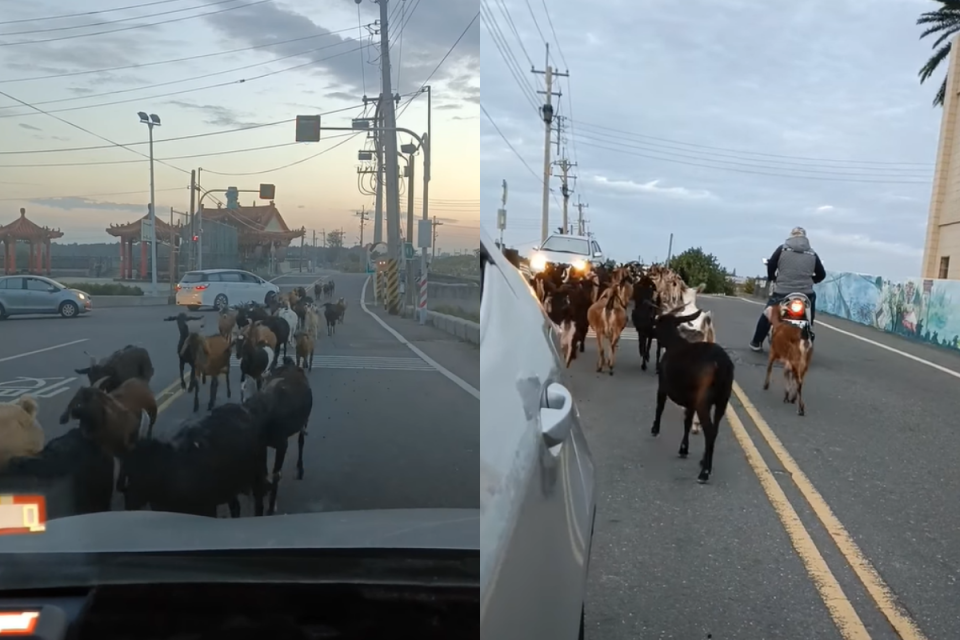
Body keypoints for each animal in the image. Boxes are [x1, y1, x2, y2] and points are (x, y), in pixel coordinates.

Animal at [121, 404, 270, 520]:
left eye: (134, 472)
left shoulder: (208, 508)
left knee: (258, 501)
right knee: (235, 507)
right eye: (127, 468)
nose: (129, 505)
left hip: (257, 473)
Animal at [246, 358, 314, 516]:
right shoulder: (262, 446)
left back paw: (300, 469)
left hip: (304, 422)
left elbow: (275, 474)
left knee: (301, 442)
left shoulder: (282, 445)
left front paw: (270, 507)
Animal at [652, 308, 736, 482]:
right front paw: (683, 448)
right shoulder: (691, 400)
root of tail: (723, 367)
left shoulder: (663, 385)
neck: (672, 343)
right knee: (715, 430)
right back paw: (704, 461)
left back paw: (704, 472)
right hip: (722, 400)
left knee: (709, 431)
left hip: (704, 401)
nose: (651, 331)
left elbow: (659, 407)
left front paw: (655, 429)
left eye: (658, 321)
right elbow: (687, 421)